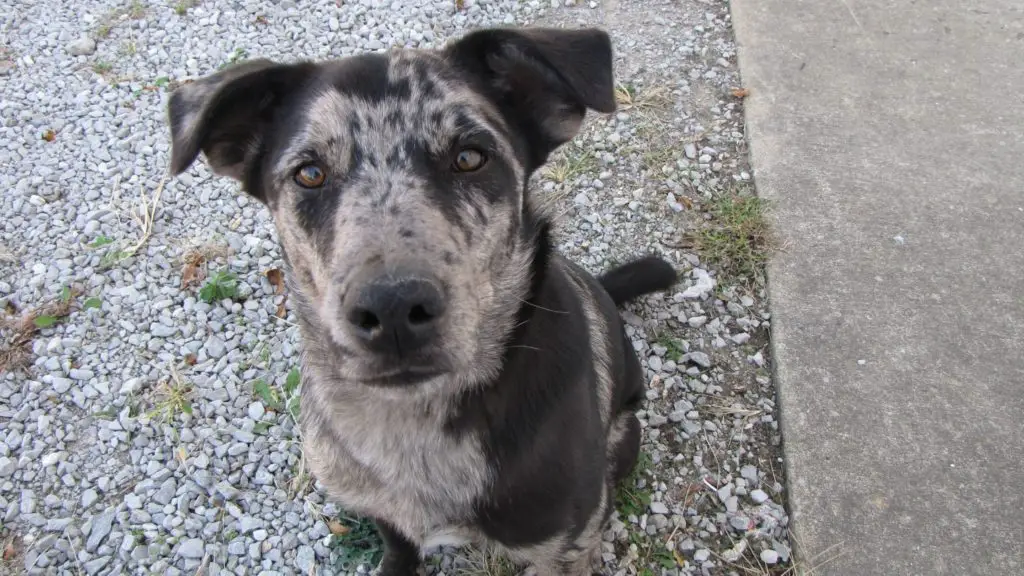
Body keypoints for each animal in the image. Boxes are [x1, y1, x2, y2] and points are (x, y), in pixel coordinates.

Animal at [165, 25, 679, 569]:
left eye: (470, 157)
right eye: (310, 173)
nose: (391, 309)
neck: (415, 417)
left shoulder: (565, 544)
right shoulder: (382, 509)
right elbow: (397, 543)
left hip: (625, 434)